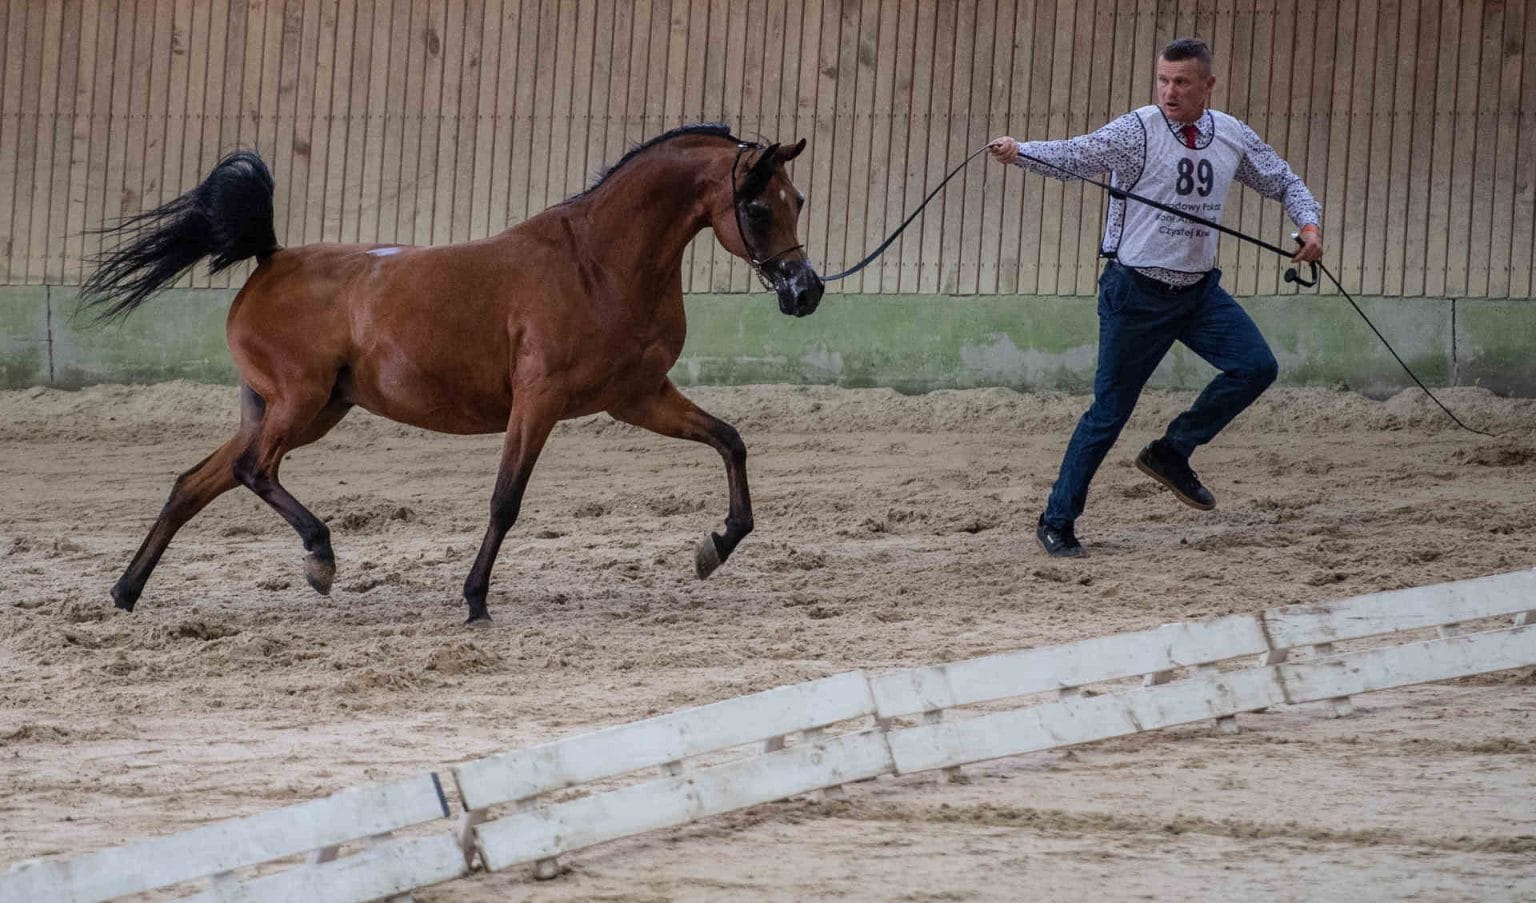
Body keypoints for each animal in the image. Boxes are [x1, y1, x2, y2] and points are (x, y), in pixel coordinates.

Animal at [81, 123, 824, 624]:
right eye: (759, 207)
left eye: (799, 200)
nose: (806, 291)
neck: (597, 264)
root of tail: (271, 258)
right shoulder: (539, 401)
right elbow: (505, 500)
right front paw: (474, 601)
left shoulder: (638, 397)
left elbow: (730, 440)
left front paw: (716, 545)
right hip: (300, 404)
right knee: (250, 470)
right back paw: (319, 557)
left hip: (302, 409)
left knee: (195, 483)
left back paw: (125, 592)